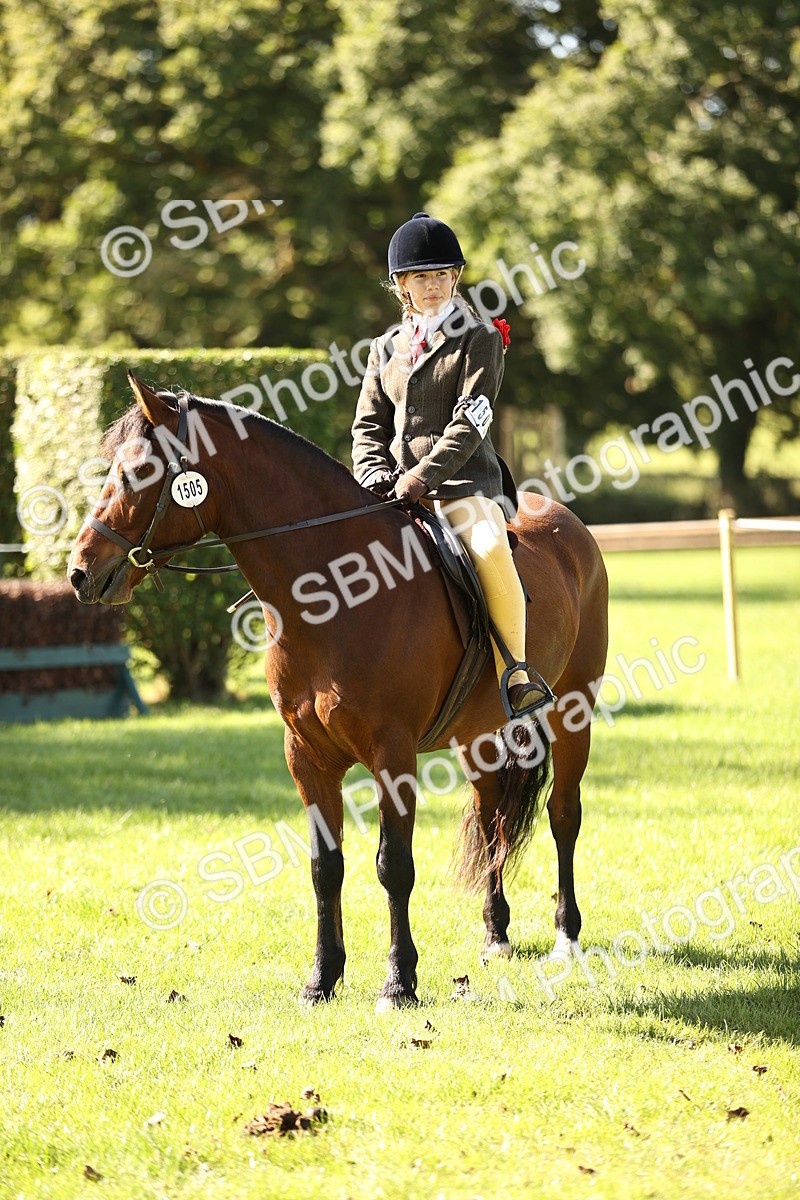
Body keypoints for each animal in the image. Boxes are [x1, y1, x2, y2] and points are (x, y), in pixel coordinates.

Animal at [67, 373, 609, 1010]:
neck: (333, 592)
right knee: (491, 814)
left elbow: (394, 866)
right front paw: (322, 978)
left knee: (563, 814)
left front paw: (399, 984)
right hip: (478, 735)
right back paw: (495, 934)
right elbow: (325, 867)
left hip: (573, 712)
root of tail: (567, 522)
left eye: (137, 473)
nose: (79, 572)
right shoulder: (307, 756)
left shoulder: (392, 755)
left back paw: (566, 938)